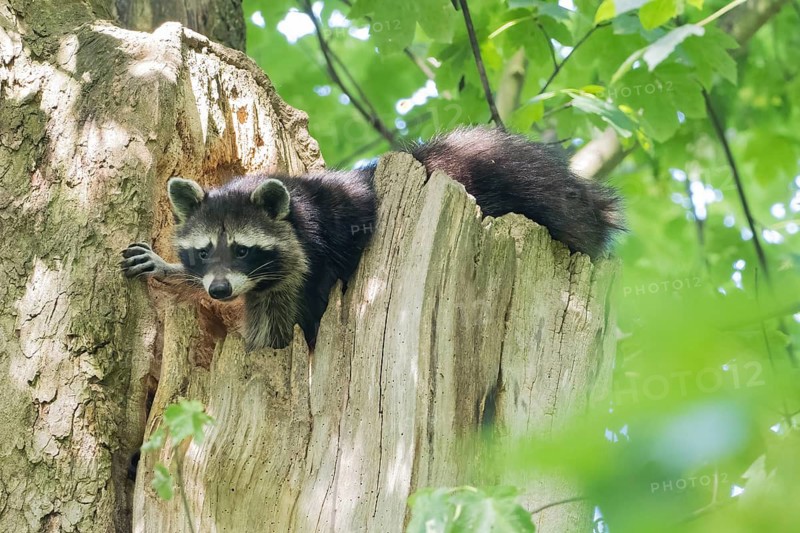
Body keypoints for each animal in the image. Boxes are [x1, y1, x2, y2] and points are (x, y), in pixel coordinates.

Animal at [121, 127, 622, 350]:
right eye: (204, 252)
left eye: (243, 250)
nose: (220, 290)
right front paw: (169, 267)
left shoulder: (310, 251)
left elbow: (282, 321)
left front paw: (266, 348)